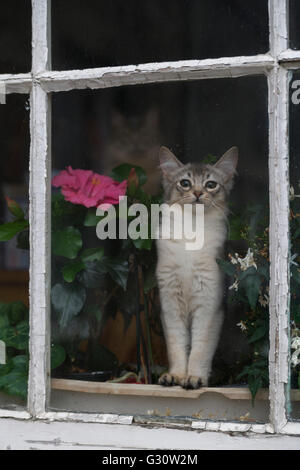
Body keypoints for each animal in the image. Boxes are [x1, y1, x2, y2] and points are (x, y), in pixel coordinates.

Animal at [156, 146, 238, 390]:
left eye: (211, 184)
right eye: (185, 182)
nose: (199, 193)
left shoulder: (209, 304)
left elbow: (200, 349)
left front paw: (194, 377)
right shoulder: (169, 303)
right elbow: (176, 346)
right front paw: (175, 376)